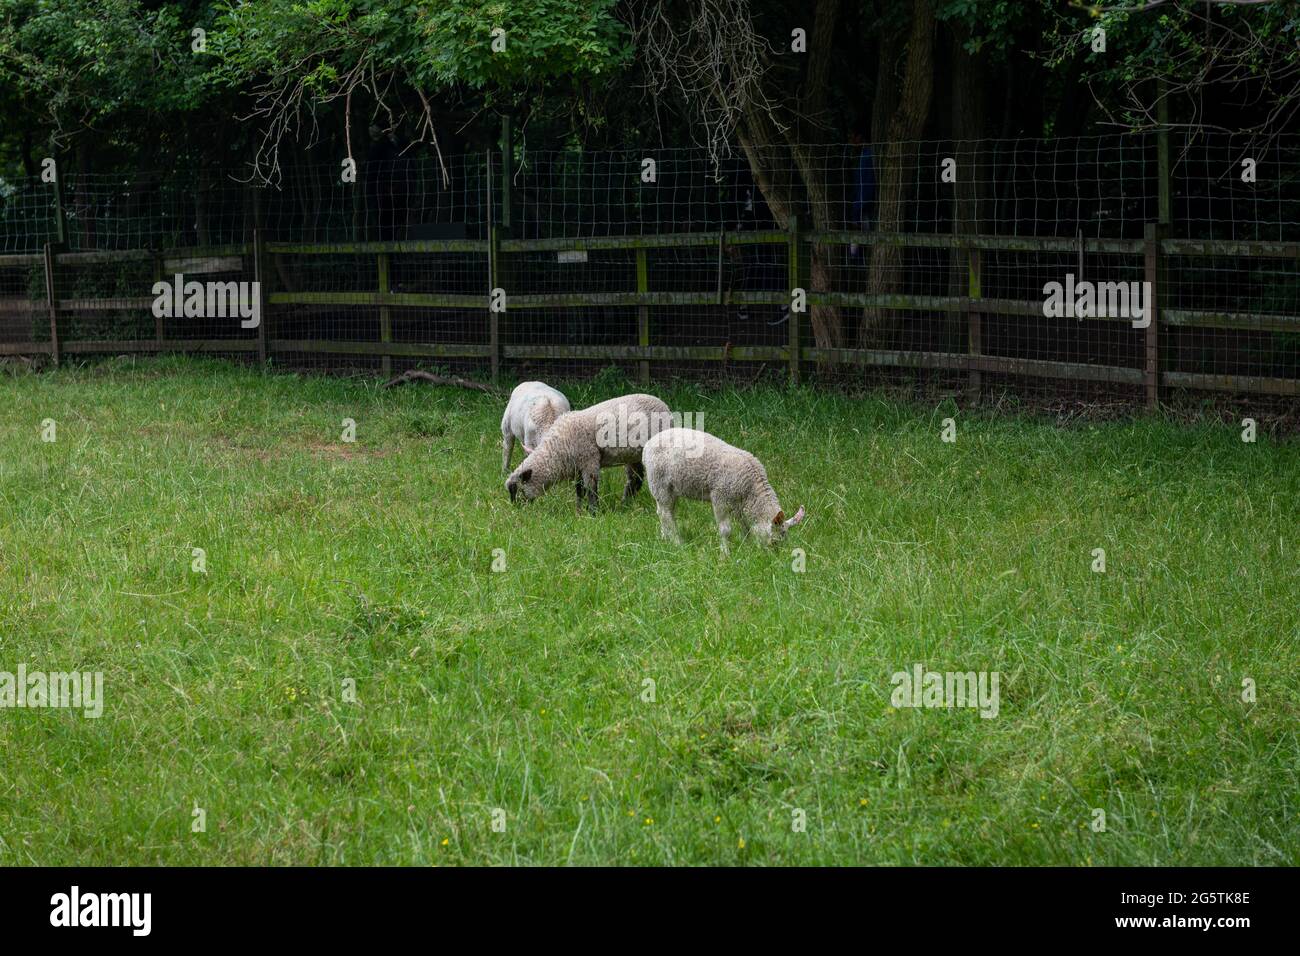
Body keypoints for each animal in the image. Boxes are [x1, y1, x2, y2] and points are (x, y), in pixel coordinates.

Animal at [504, 392, 676, 515]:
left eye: (516, 489)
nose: (516, 511)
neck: (556, 451)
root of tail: (664, 406)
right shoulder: (578, 465)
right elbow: (579, 489)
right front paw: (579, 510)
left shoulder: (589, 461)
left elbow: (591, 489)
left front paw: (593, 513)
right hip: (633, 454)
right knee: (635, 479)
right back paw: (625, 504)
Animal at [639, 426, 800, 554]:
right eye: (775, 541)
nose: (774, 557)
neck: (752, 489)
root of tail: (648, 445)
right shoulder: (719, 497)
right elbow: (725, 530)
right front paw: (726, 553)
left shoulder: (738, 502)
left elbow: (745, 526)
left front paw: (746, 545)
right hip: (659, 483)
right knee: (665, 513)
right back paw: (677, 542)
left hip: (670, 488)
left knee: (665, 512)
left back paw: (665, 537)